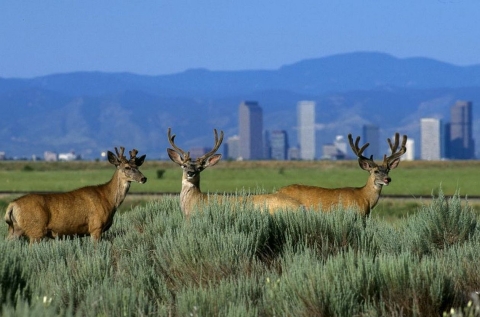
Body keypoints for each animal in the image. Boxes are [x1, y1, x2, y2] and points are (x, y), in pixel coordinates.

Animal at [4, 146, 146, 242]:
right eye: (127, 167)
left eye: (138, 166)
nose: (144, 178)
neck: (109, 200)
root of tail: (12, 205)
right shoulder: (96, 226)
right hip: (36, 230)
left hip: (14, 229)